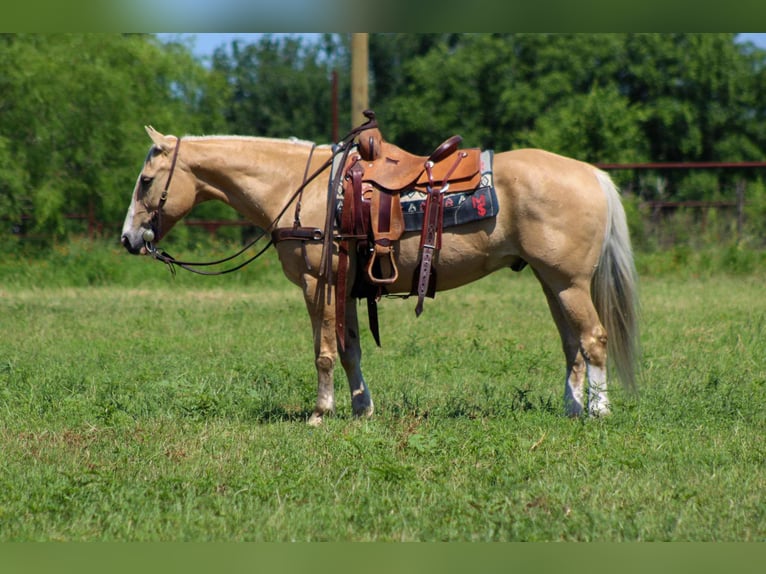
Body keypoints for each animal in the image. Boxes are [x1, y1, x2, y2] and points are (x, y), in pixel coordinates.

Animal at [121, 125, 639, 425]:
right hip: (551, 282)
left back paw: (598, 411)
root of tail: (593, 174)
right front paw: (361, 408)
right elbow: (350, 349)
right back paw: (573, 409)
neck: (301, 189)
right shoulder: (347, 288)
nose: (128, 239)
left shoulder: (318, 284)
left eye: (146, 181)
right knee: (571, 344)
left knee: (593, 338)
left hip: (569, 282)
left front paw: (320, 413)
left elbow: (324, 352)